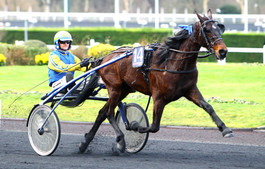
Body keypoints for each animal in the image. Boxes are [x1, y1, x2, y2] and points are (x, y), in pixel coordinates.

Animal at [77, 9, 232, 154]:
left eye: (219, 28)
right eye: (207, 30)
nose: (223, 51)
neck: (172, 63)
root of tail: (105, 58)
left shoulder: (190, 90)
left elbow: (208, 107)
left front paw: (224, 129)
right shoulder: (158, 97)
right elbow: (154, 126)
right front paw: (134, 126)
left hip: (124, 90)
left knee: (102, 112)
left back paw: (85, 143)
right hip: (114, 88)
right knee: (109, 112)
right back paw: (120, 138)